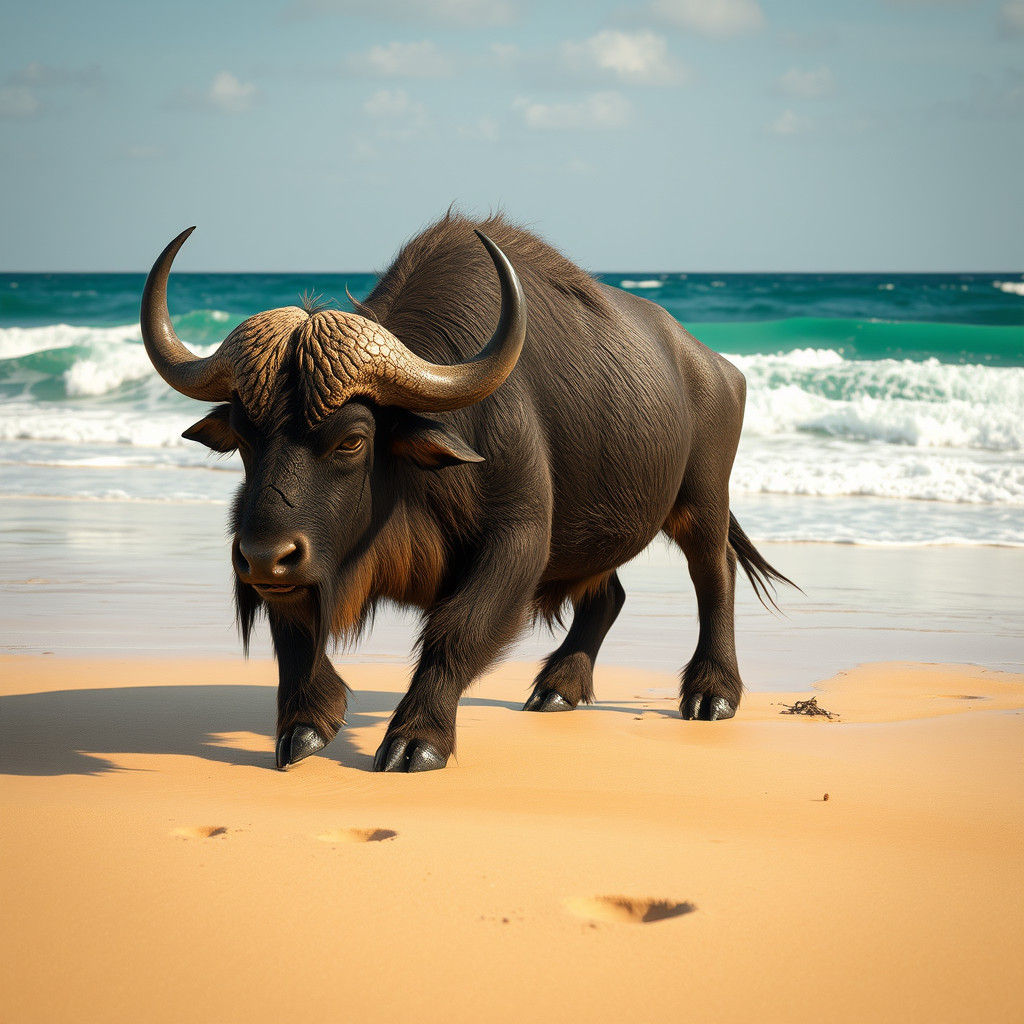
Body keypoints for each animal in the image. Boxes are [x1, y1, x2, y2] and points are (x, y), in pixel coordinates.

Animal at [140, 212, 793, 773]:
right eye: (244, 437)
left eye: (352, 440)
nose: (260, 557)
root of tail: (716, 368)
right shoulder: (293, 562)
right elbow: (295, 632)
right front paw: (304, 726)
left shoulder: (518, 537)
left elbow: (459, 627)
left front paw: (416, 740)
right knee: (607, 595)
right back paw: (558, 688)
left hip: (702, 502)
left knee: (714, 574)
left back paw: (711, 693)